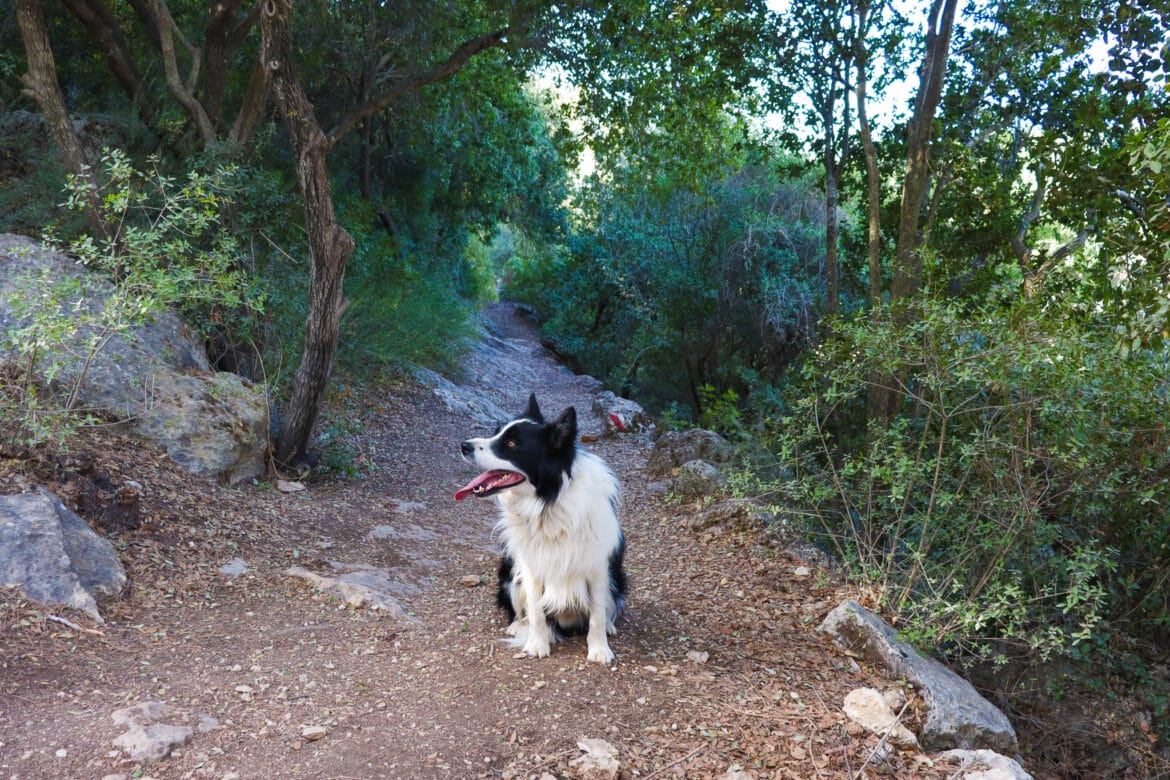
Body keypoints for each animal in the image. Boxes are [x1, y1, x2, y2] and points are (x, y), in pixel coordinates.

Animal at [453, 392, 627, 664]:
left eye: (511, 443)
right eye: (496, 433)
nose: (464, 445)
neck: (549, 501)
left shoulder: (598, 566)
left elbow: (597, 613)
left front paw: (599, 649)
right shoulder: (530, 563)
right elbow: (535, 609)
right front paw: (537, 643)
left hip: (618, 578)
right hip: (509, 573)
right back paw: (517, 625)